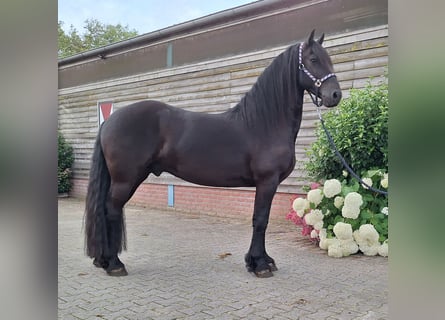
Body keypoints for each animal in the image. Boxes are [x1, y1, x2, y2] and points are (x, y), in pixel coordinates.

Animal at [84, 30, 340, 278]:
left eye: (329, 58)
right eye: (313, 59)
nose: (335, 95)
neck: (264, 123)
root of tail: (109, 122)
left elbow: (260, 219)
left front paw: (262, 260)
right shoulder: (267, 181)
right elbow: (260, 220)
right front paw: (259, 265)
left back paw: (104, 260)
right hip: (126, 179)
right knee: (111, 210)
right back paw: (114, 264)